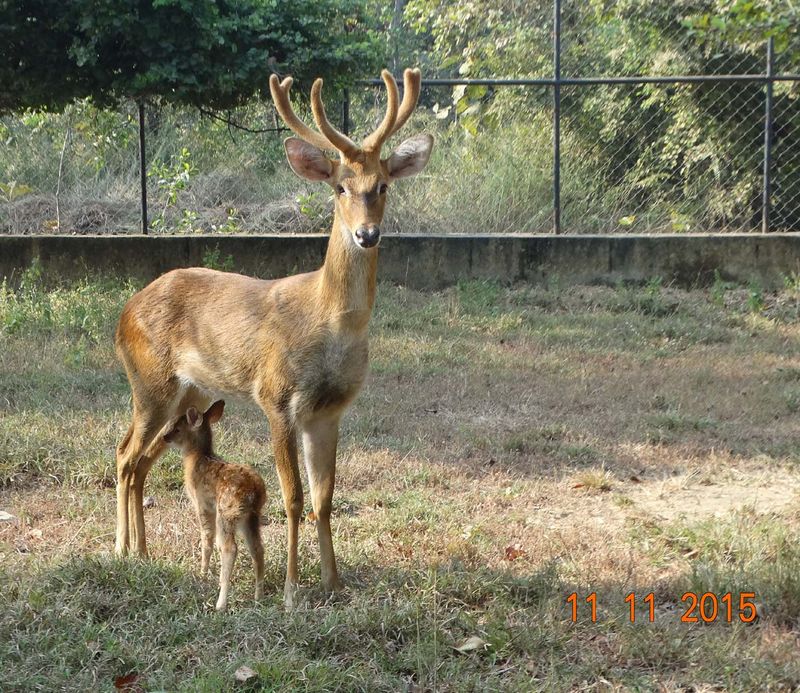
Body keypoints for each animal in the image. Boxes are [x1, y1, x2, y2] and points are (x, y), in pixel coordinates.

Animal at [164, 400, 268, 612]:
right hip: (250, 517)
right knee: (257, 548)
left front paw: (202, 573)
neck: (197, 459)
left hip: (227, 511)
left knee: (230, 548)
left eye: (177, 428)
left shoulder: (202, 504)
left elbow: (207, 538)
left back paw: (221, 603)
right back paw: (258, 597)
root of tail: (255, 491)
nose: (164, 437)